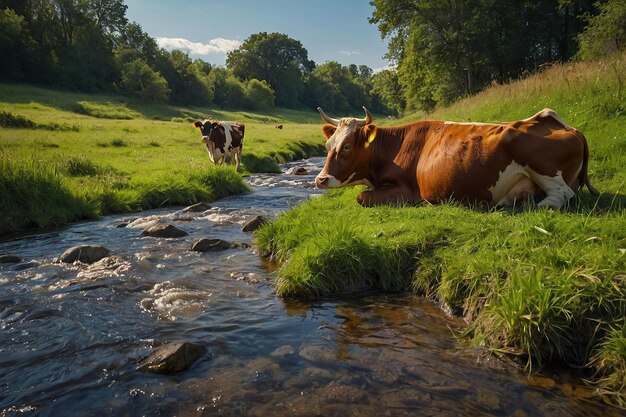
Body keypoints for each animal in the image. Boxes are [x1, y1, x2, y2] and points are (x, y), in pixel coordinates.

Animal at [314, 106, 596, 208]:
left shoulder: (408, 190)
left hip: (542, 167)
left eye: (347, 146)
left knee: (562, 194)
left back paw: (537, 205)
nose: (320, 179)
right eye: (327, 145)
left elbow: (361, 197)